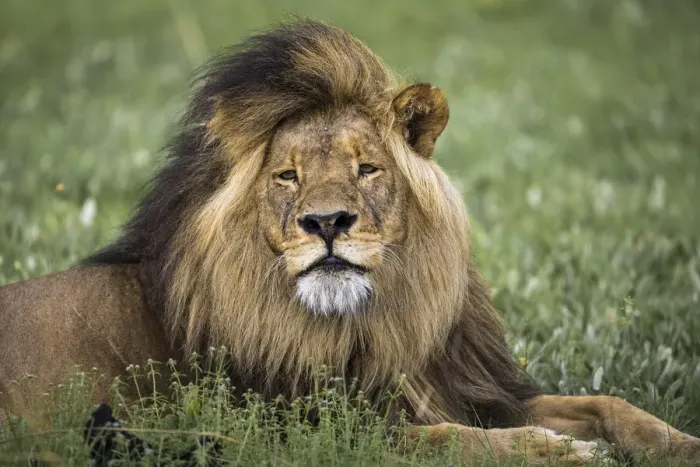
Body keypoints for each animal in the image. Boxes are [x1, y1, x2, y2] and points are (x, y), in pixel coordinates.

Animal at [1, 19, 698, 465]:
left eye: (367, 169)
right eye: (287, 176)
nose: (327, 223)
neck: (376, 321)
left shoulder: (475, 391)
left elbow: (609, 403)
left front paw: (679, 445)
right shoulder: (307, 428)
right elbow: (448, 441)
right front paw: (558, 452)